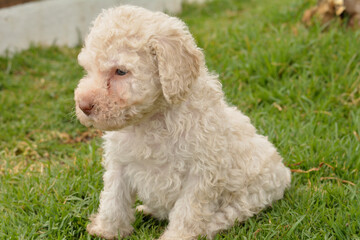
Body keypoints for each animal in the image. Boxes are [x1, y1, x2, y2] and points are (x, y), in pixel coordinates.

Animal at [74, 4, 292, 239]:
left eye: (121, 71)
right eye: (88, 69)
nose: (83, 105)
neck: (152, 120)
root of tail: (284, 172)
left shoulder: (201, 173)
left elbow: (188, 211)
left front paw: (176, 235)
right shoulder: (119, 164)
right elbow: (113, 199)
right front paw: (106, 231)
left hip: (252, 195)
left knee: (228, 215)